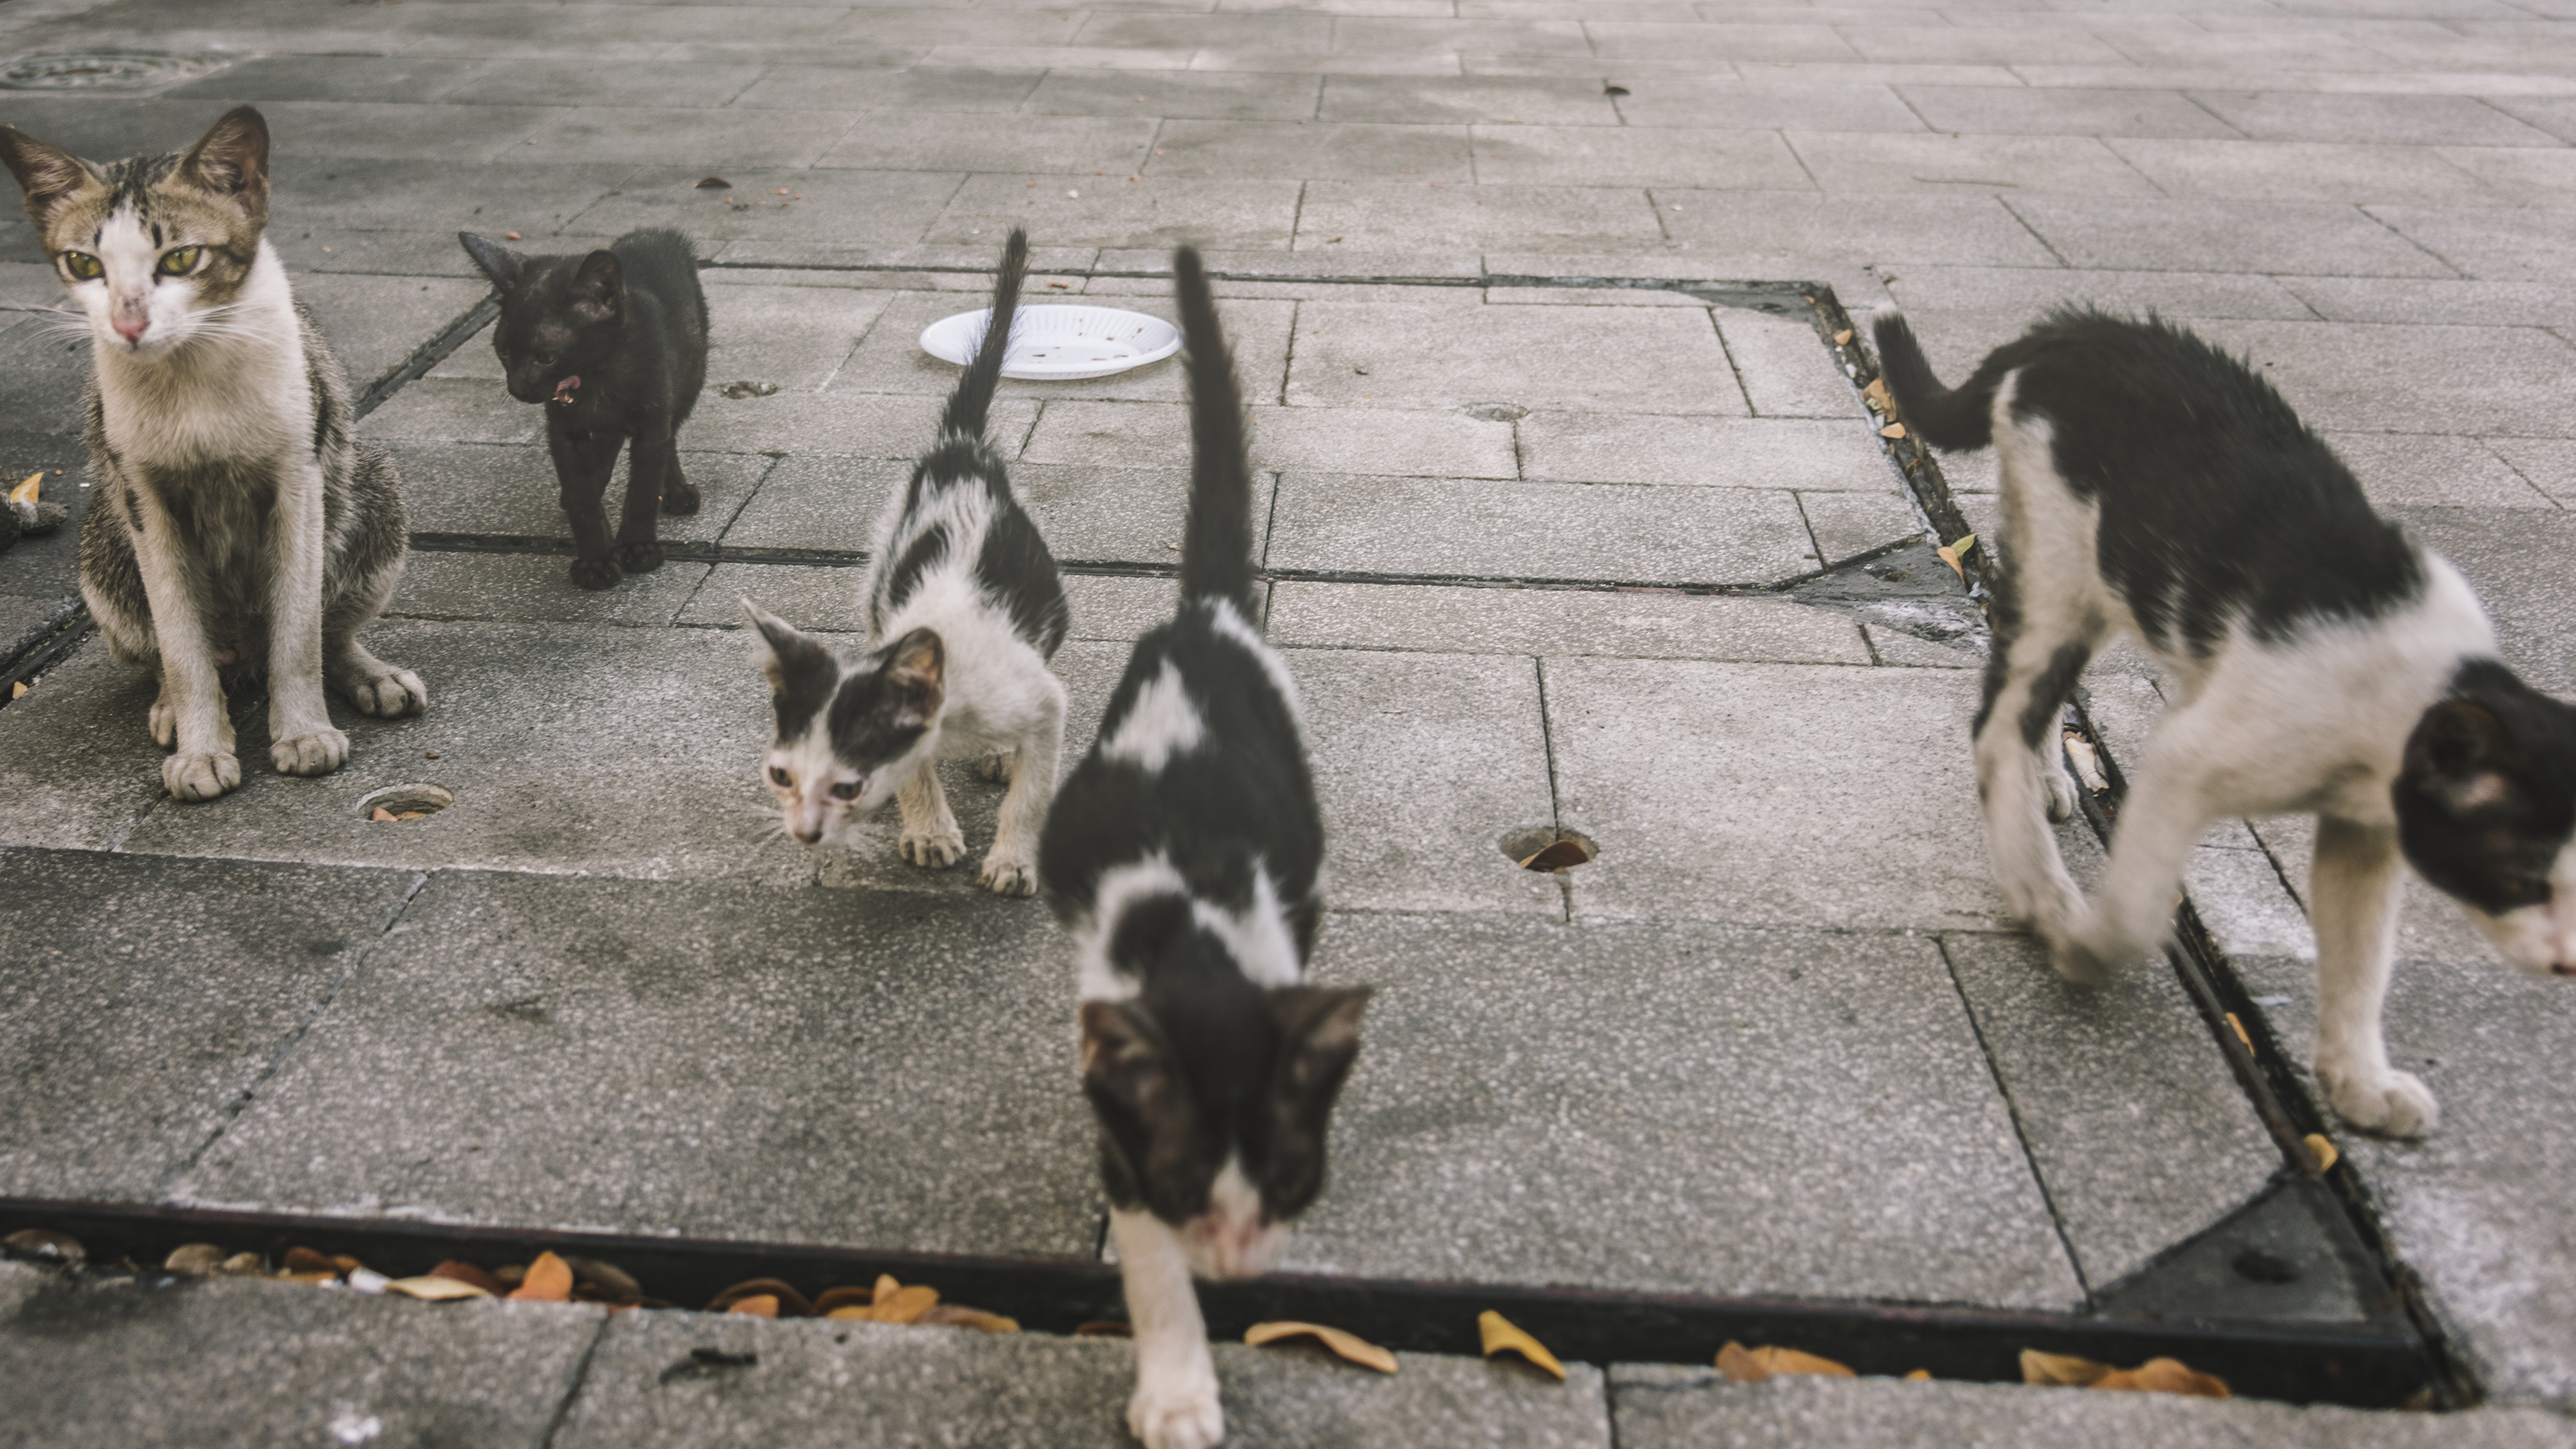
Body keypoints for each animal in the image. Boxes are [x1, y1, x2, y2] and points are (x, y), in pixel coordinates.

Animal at [0, 106, 422, 794]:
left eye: (182, 257)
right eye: (85, 265)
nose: (128, 324)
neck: (190, 370)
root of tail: (245, 656)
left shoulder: (299, 477)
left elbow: (299, 630)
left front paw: (303, 729)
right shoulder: (141, 496)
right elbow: (179, 638)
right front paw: (201, 743)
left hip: (372, 480)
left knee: (326, 625)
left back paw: (367, 672)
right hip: (103, 543)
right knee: (167, 645)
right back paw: (174, 703)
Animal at [448, 226, 700, 587]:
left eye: (546, 356)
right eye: (504, 351)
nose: (517, 388)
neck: (595, 376)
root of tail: (656, 232)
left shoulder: (652, 423)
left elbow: (644, 486)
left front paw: (638, 548)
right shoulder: (562, 429)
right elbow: (581, 495)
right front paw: (595, 561)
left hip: (689, 377)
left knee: (670, 433)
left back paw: (677, 489)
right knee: (609, 441)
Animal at [742, 226, 1071, 892]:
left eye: (846, 786)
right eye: (781, 775)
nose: (802, 833)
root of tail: (961, 449)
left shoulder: (1045, 702)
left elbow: (1034, 787)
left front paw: (1012, 859)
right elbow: (916, 771)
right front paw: (928, 830)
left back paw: (1002, 756)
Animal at [1040, 247, 1380, 1444]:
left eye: (1287, 1179)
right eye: (1190, 1185)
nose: (1235, 1264)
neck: (1190, 930)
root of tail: (1205, 617)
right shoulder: (1121, 1117)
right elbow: (1145, 1258)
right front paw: (1179, 1386)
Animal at [1875, 306, 2576, 1140]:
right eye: (2522, 877)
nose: (2568, 962)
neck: (2414, 687)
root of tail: (2075, 327)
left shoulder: (2363, 834)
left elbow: (2359, 957)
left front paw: (2357, 1081)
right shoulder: (2187, 757)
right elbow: (2137, 908)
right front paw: (2084, 946)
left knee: (2027, 694)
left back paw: (2044, 786)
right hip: (2062, 568)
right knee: (1997, 717)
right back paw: (2037, 885)